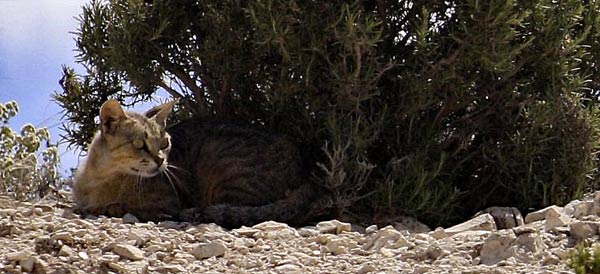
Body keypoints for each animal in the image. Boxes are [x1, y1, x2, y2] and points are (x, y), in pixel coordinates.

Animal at [75, 98, 330, 227]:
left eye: (165, 143)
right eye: (140, 144)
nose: (161, 160)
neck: (100, 177)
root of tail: (306, 173)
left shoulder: (166, 203)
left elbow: (121, 206)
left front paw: (101, 207)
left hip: (221, 160)